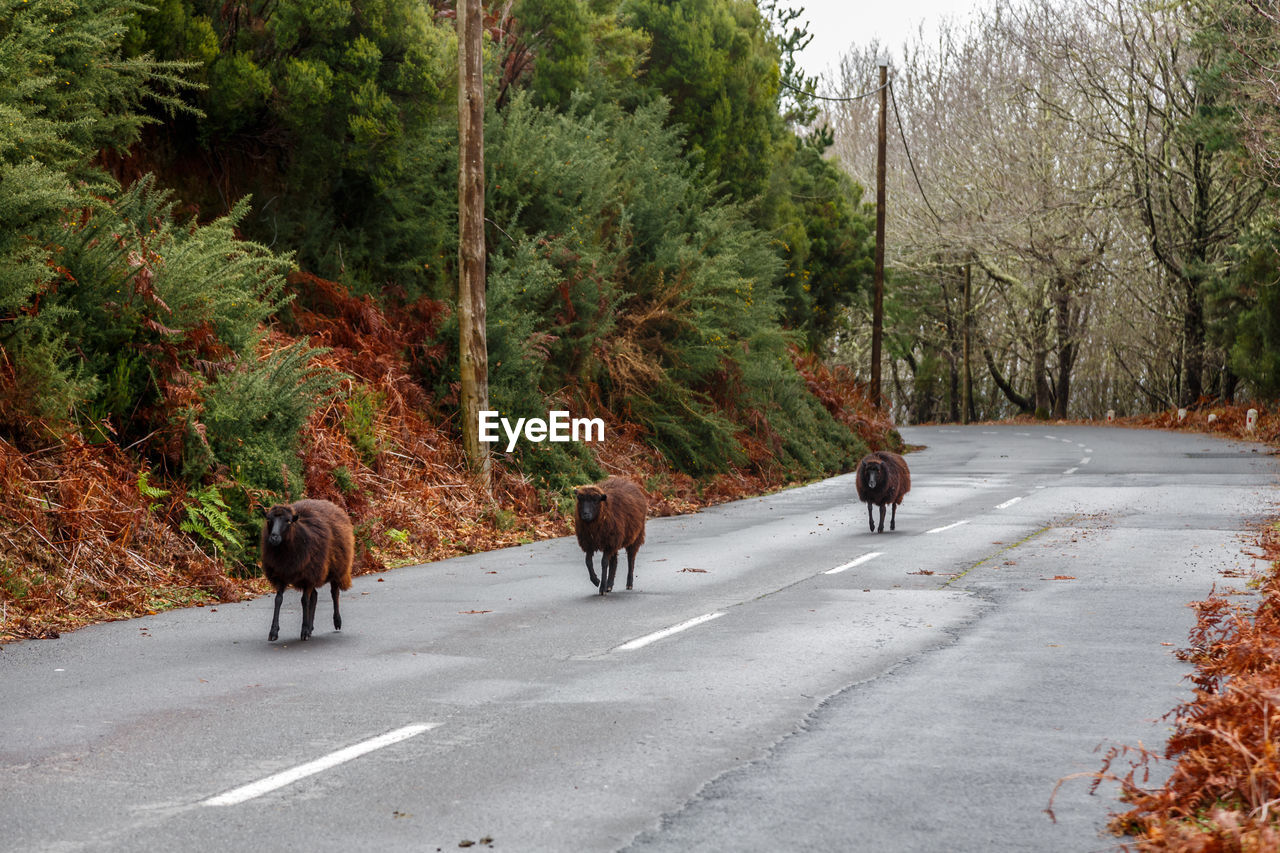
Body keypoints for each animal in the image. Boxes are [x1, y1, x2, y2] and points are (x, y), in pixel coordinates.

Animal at [258, 499, 353, 637]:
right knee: (314, 596)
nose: (274, 537)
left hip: (335, 568)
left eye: (288, 521)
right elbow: (278, 600)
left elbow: (304, 601)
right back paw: (310, 627)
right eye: (269, 520)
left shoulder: (309, 575)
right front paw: (274, 631)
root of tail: (330, 504)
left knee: (334, 593)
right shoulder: (281, 574)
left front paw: (303, 630)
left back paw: (336, 621)